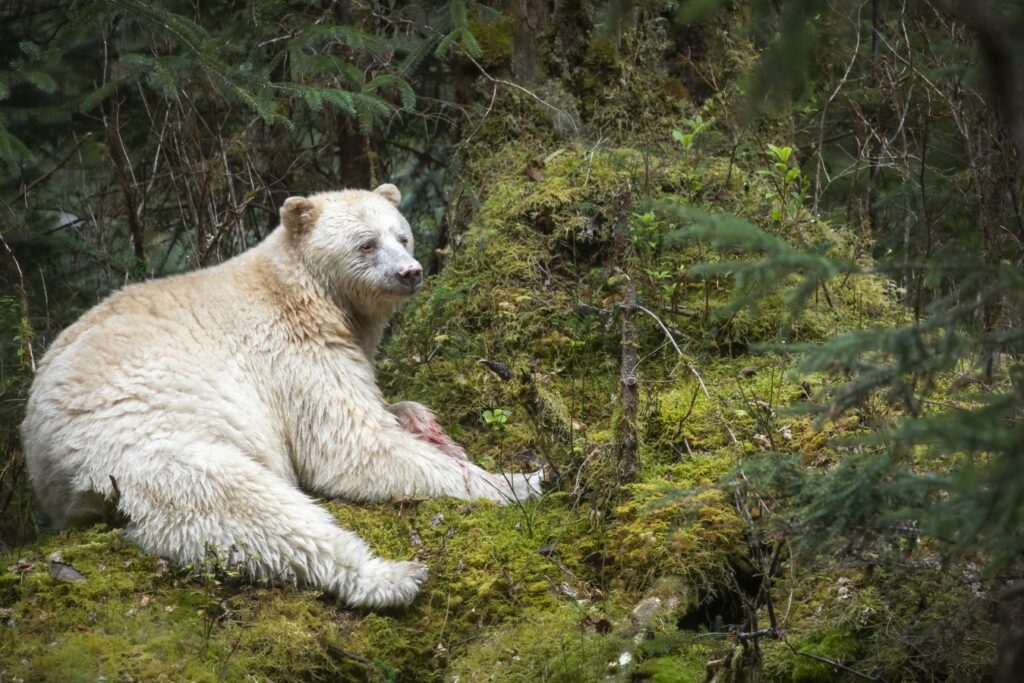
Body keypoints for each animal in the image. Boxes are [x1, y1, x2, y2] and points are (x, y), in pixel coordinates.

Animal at [19, 185, 540, 610]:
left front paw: (424, 422)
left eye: (403, 236)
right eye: (367, 243)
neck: (307, 289)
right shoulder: (291, 352)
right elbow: (348, 444)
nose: (410, 272)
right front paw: (514, 482)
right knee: (248, 506)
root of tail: (42, 456)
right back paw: (388, 576)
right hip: (145, 441)